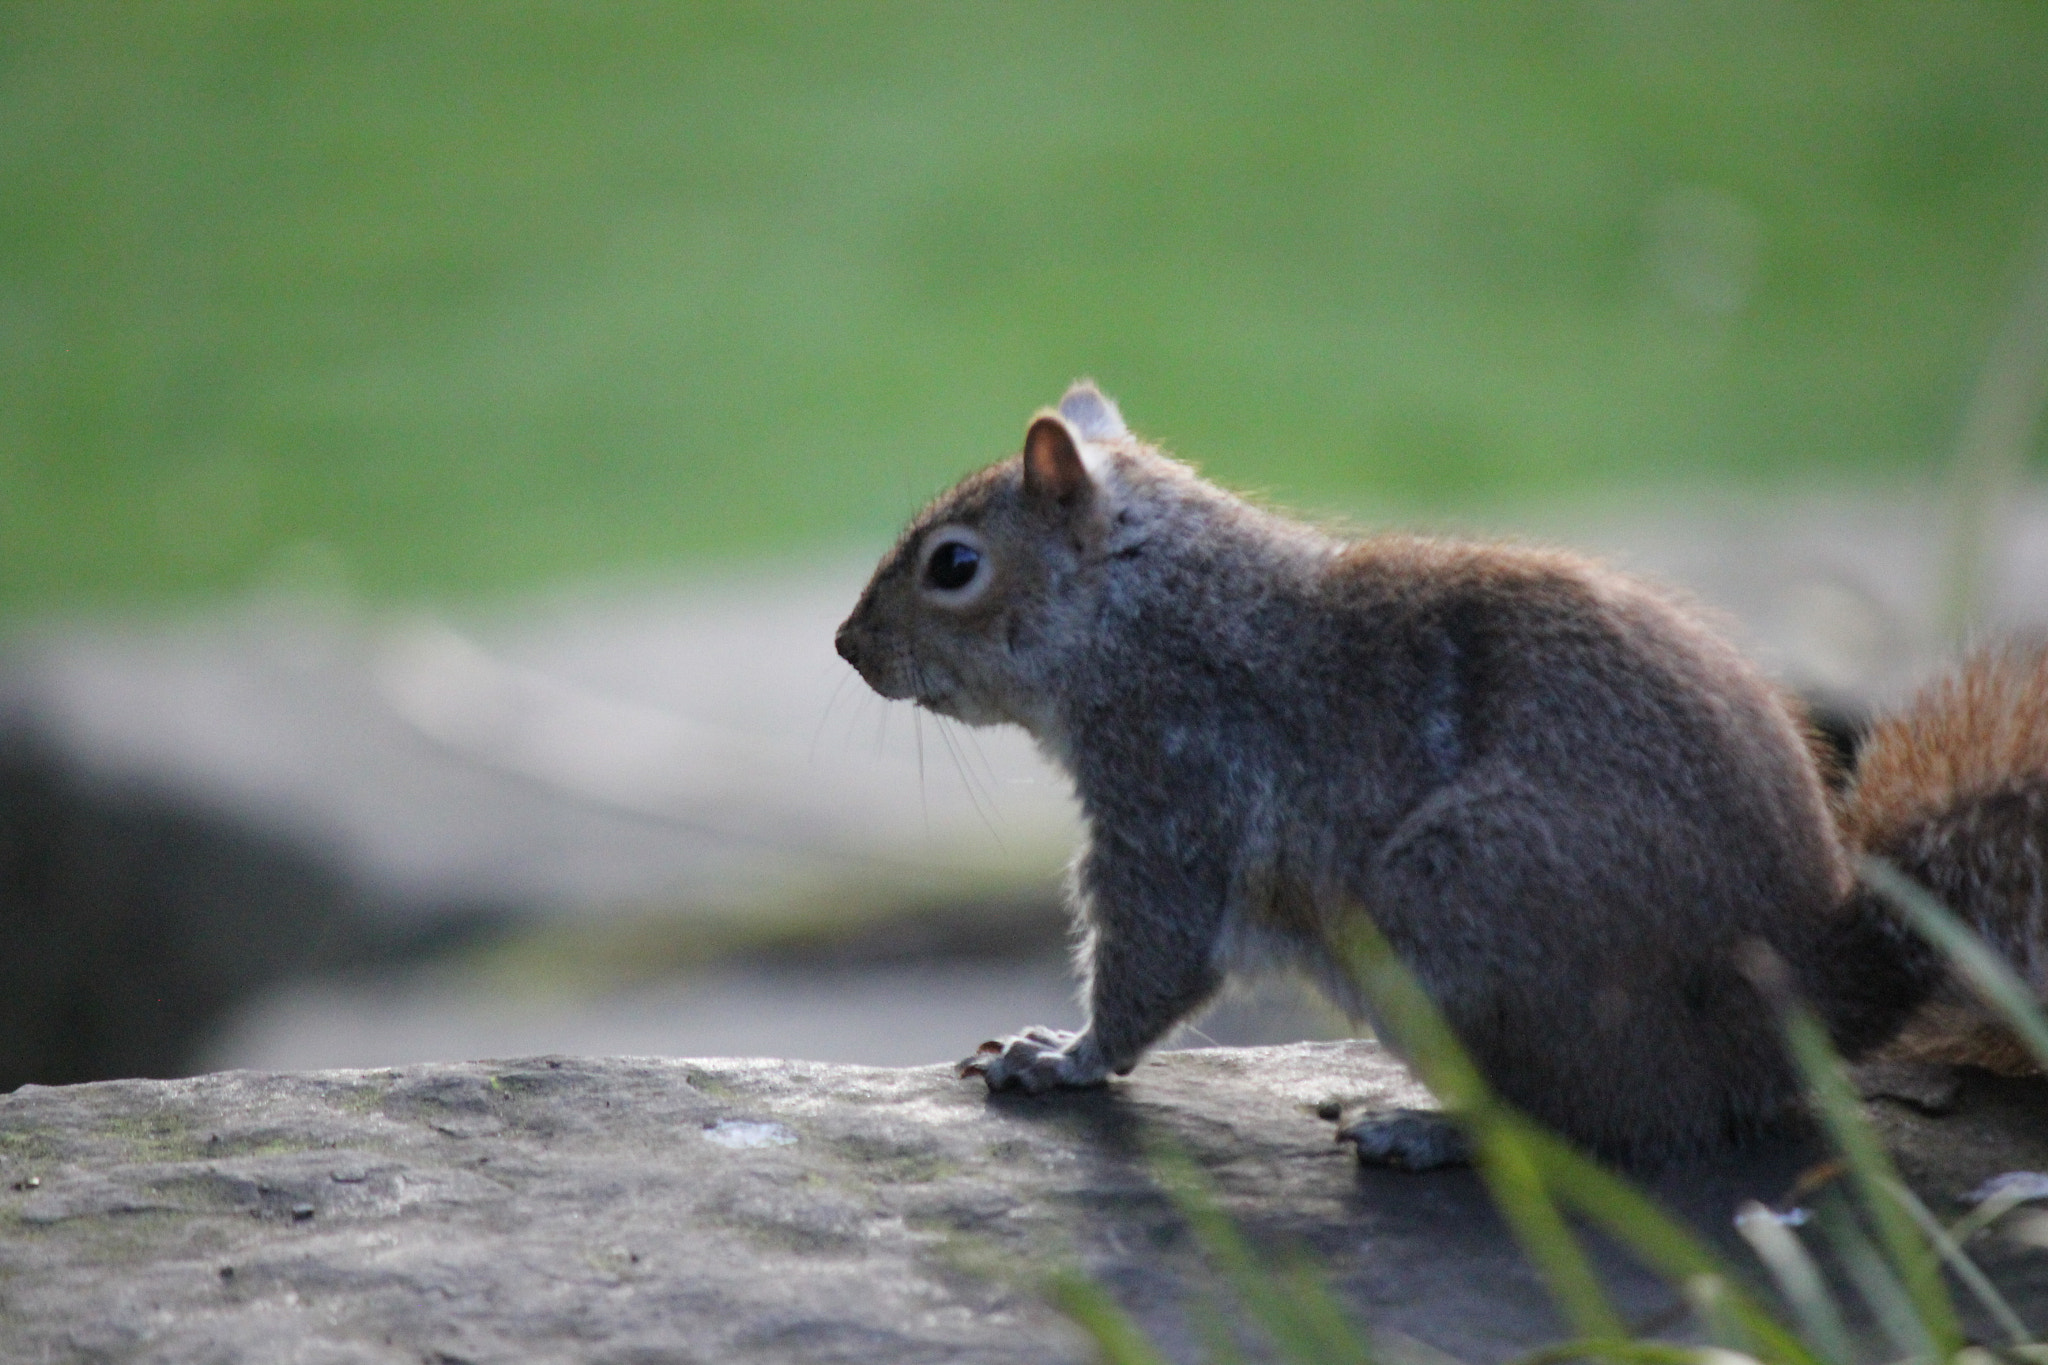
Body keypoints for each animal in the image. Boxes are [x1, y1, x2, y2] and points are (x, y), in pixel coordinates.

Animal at [833, 381, 2048, 1170]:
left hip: (1463, 896)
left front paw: (1061, 1057)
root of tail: (1795, 1005)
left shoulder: (1174, 788)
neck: (1148, 608)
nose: (848, 648)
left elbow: (1152, 960)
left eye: (953, 566)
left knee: (1598, 1127)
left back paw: (1428, 1129)